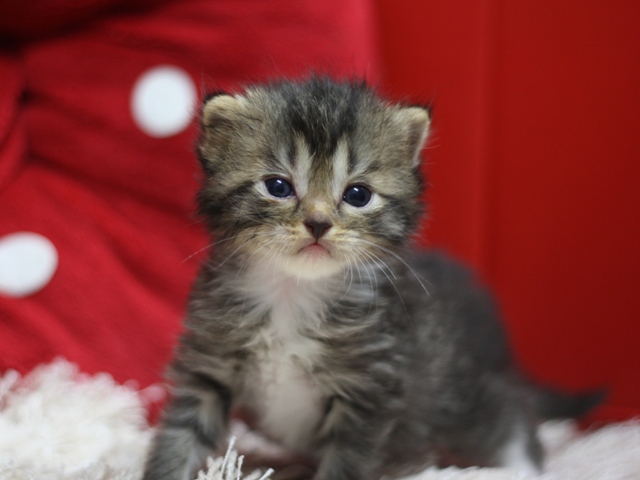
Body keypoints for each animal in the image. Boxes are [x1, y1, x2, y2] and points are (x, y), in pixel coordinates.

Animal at [141, 77, 604, 478]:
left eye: (358, 194)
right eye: (278, 186)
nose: (318, 223)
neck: (293, 292)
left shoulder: (368, 390)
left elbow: (345, 464)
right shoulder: (207, 368)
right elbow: (180, 438)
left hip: (461, 398)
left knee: (511, 416)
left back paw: (520, 466)